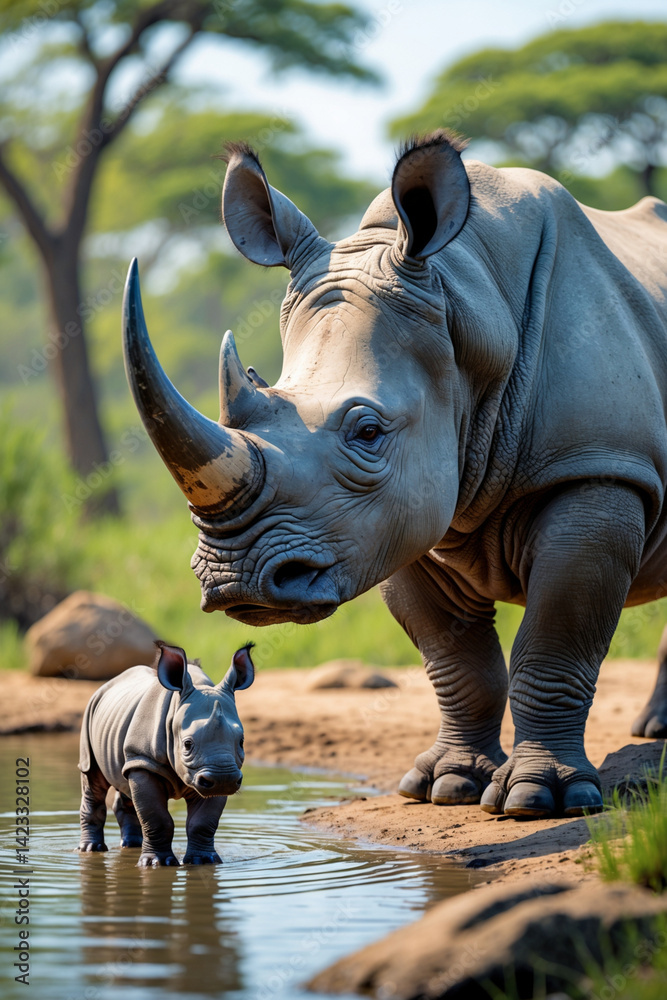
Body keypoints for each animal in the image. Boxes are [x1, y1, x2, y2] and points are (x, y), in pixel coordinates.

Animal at [78, 641, 254, 866]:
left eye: (241, 742)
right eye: (187, 744)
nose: (224, 780)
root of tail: (107, 684)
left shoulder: (216, 768)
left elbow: (203, 822)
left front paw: (203, 861)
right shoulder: (144, 760)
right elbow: (157, 818)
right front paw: (156, 863)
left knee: (125, 784)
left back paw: (131, 845)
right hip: (90, 713)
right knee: (92, 776)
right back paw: (91, 849)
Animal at [123, 130, 667, 820]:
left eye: (368, 433)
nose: (234, 581)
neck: (466, 304)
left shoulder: (599, 470)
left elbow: (555, 641)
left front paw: (543, 800)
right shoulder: (395, 519)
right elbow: (455, 657)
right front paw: (447, 787)